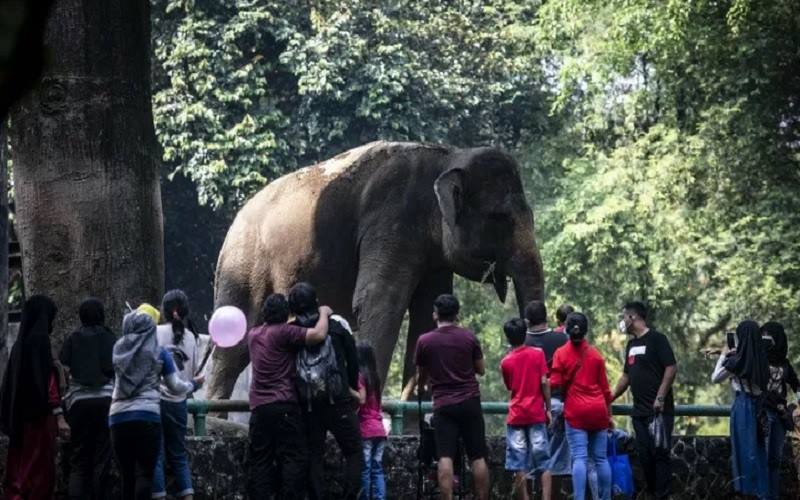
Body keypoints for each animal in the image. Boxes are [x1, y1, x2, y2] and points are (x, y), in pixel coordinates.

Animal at [206, 142, 544, 402]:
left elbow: (426, 314)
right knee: (234, 343)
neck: (447, 156)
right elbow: (380, 301)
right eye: (500, 218)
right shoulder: (391, 221)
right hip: (243, 264)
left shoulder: (434, 255)